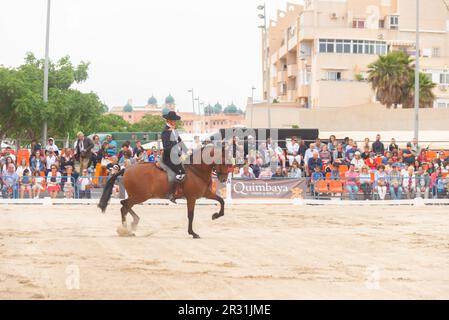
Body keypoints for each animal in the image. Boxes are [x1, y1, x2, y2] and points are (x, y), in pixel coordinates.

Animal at [98, 146, 231, 239]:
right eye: (223, 161)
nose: (224, 179)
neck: (196, 170)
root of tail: (126, 169)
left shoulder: (205, 194)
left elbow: (221, 201)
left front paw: (216, 215)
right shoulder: (191, 197)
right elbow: (191, 215)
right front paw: (193, 233)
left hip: (138, 196)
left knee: (124, 207)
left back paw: (127, 229)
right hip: (140, 196)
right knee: (124, 204)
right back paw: (131, 225)